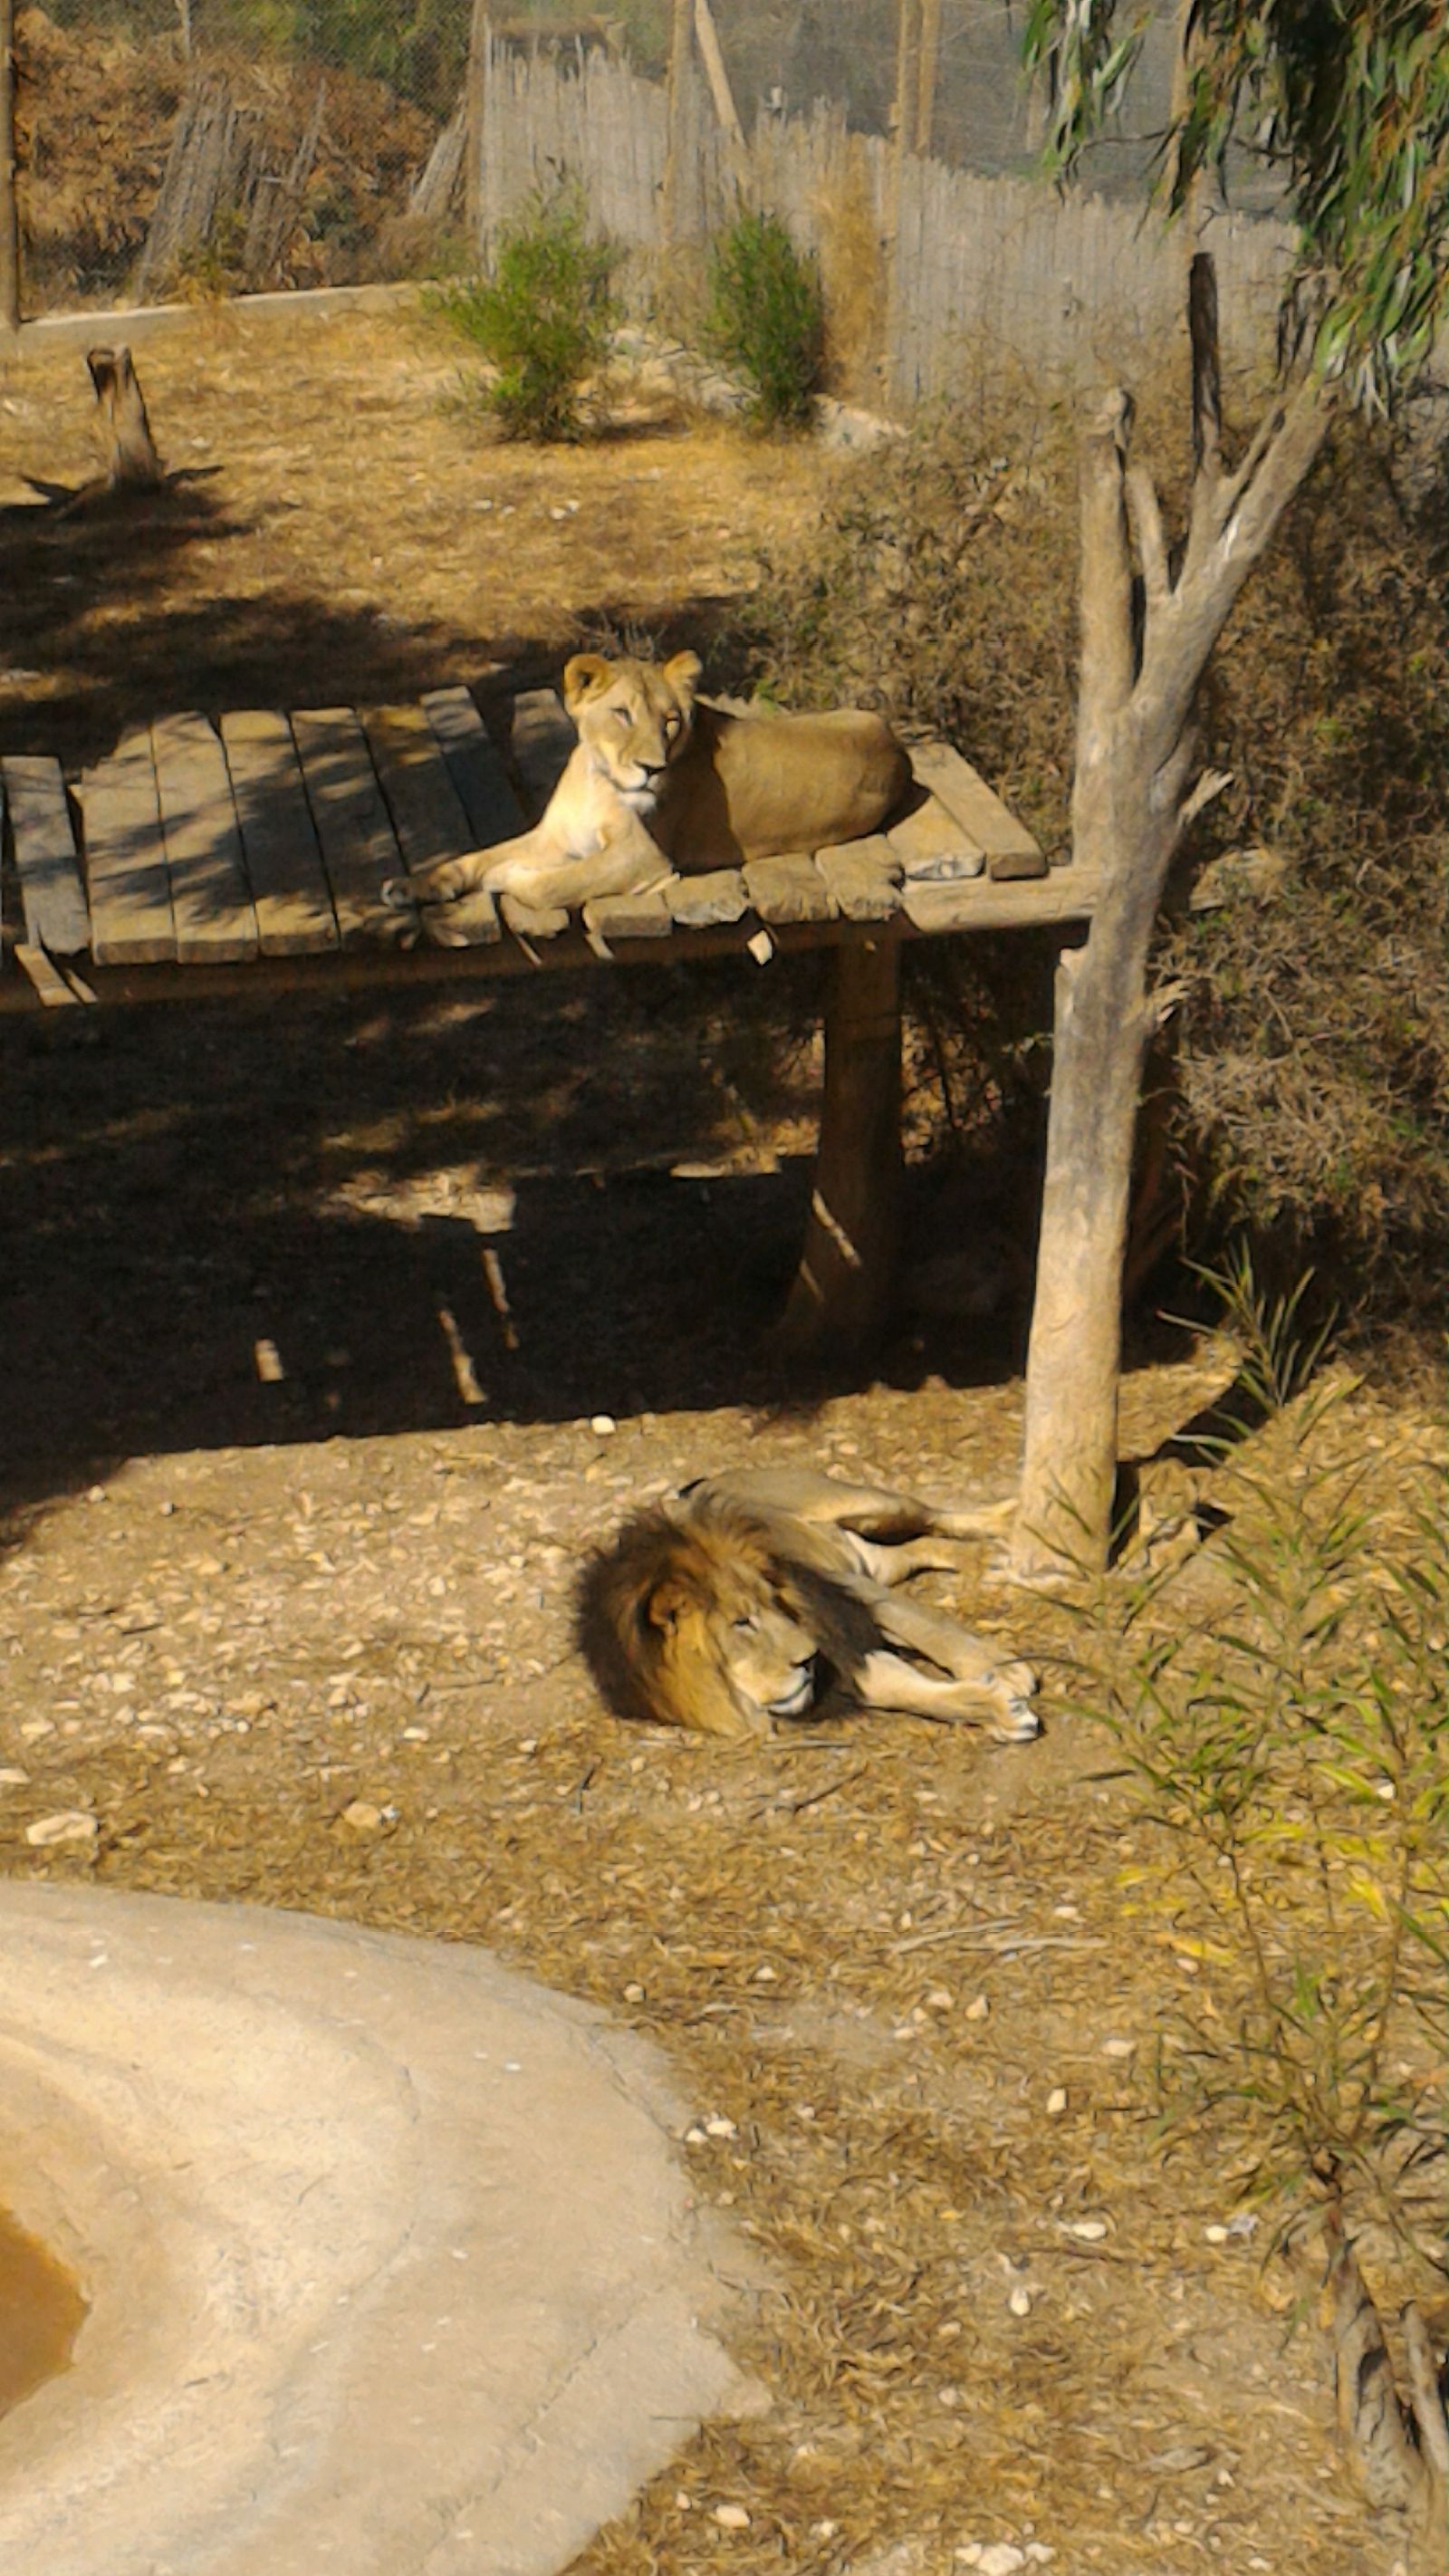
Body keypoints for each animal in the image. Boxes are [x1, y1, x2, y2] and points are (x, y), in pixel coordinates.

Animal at [386, 649, 906, 932]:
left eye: (670, 721)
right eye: (622, 714)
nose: (652, 769)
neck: (598, 779)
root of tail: (896, 745)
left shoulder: (644, 857)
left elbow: (553, 882)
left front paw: (510, 876)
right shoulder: (553, 836)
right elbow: (474, 858)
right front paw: (412, 885)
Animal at [579, 1473, 1044, 1751]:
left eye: (774, 1604)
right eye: (741, 1622)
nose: (808, 1658)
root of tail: (701, 1481)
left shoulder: (840, 1587)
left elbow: (928, 1625)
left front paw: (1002, 1668)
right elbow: (900, 1687)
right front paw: (998, 1711)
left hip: (870, 1505)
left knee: (935, 1515)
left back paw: (1012, 1521)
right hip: (874, 1557)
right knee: (923, 1546)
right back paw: (982, 1561)